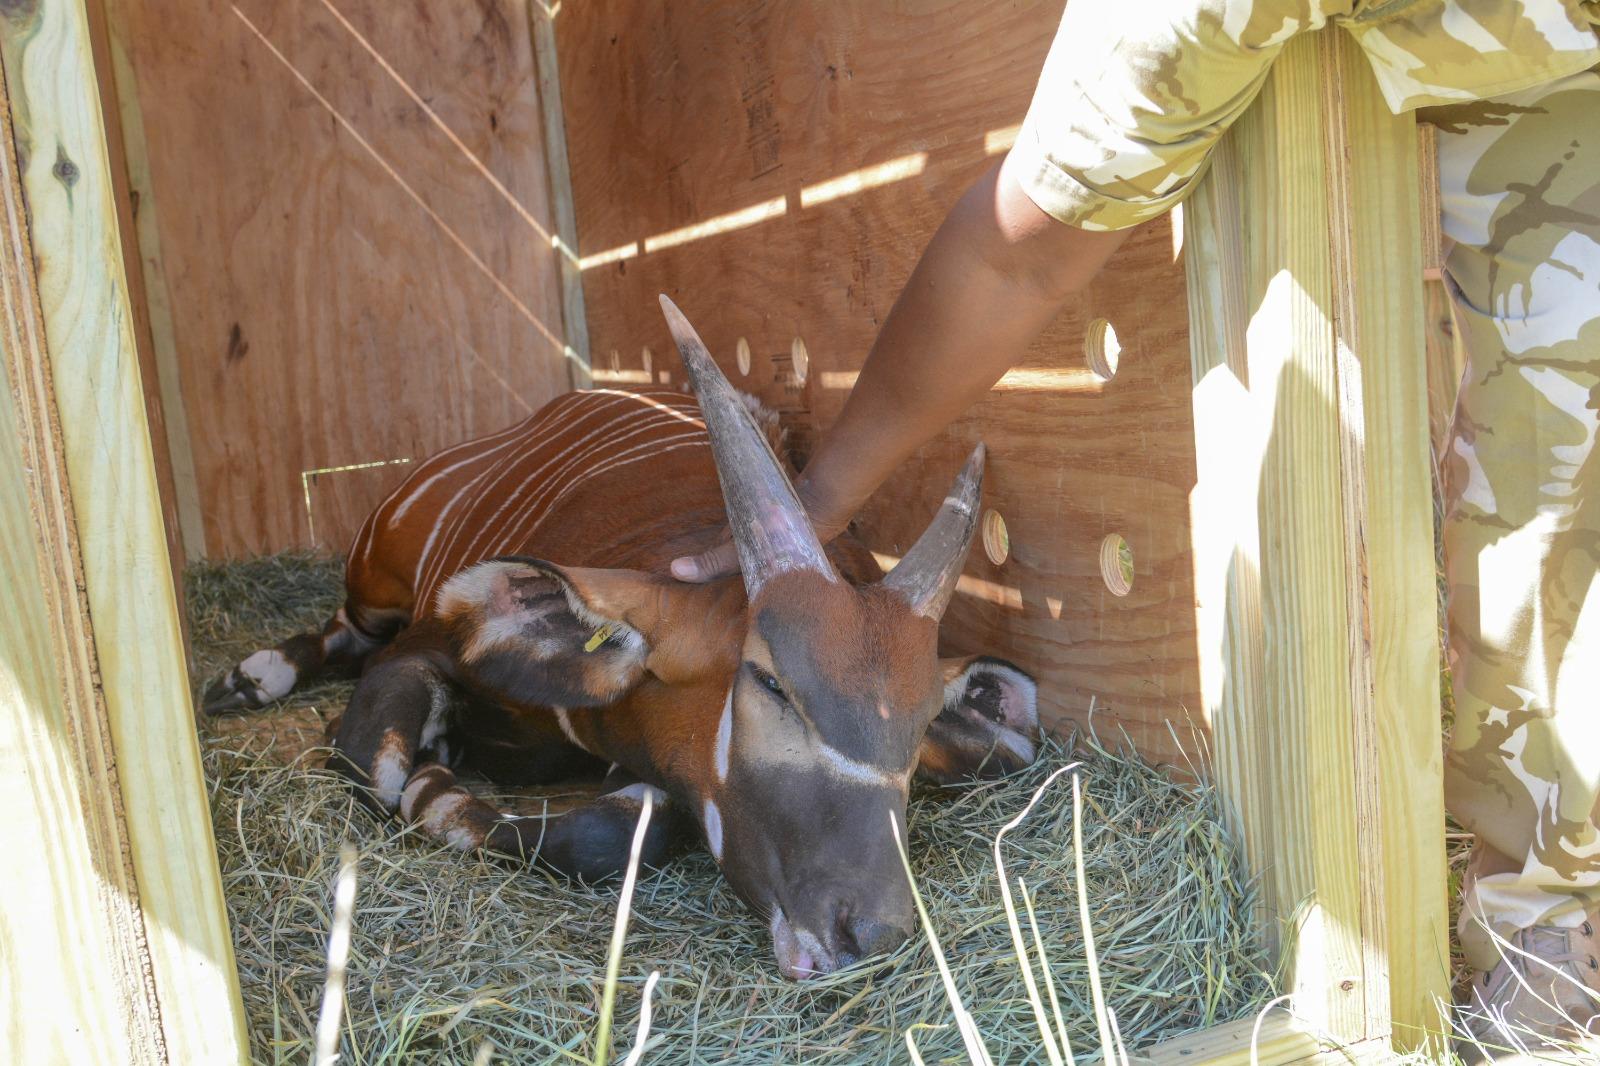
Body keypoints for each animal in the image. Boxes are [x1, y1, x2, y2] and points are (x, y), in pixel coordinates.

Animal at [209, 294, 1036, 973]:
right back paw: (246, 678)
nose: (870, 931)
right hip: (374, 578)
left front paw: (440, 781)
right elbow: (374, 766)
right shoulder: (426, 643)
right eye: (770, 681)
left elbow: (628, 827)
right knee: (343, 631)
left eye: (922, 722)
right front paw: (427, 777)